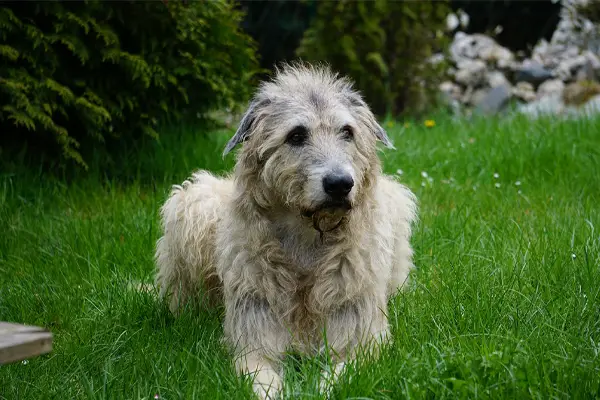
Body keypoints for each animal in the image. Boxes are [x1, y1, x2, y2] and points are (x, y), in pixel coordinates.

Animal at [154, 61, 418, 398]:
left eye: (347, 132)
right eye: (296, 135)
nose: (340, 184)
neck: (308, 237)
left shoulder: (362, 341)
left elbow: (341, 374)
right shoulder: (253, 339)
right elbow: (259, 375)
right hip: (193, 204)